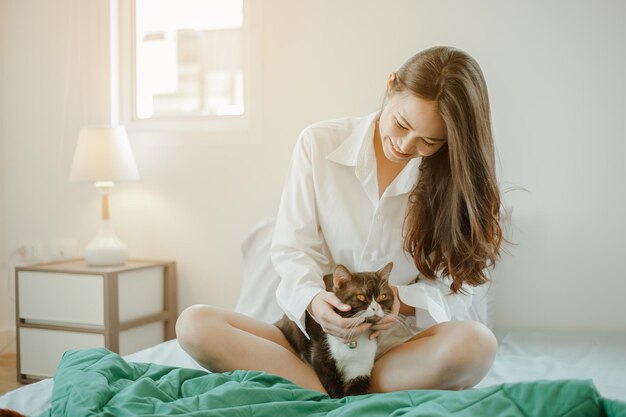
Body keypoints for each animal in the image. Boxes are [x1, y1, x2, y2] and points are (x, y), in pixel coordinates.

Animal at [272, 262, 392, 398]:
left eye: (383, 296)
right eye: (361, 297)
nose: (376, 307)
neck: (354, 340)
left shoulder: (362, 364)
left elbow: (356, 391)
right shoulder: (321, 354)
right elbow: (330, 381)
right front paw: (337, 397)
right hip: (294, 325)